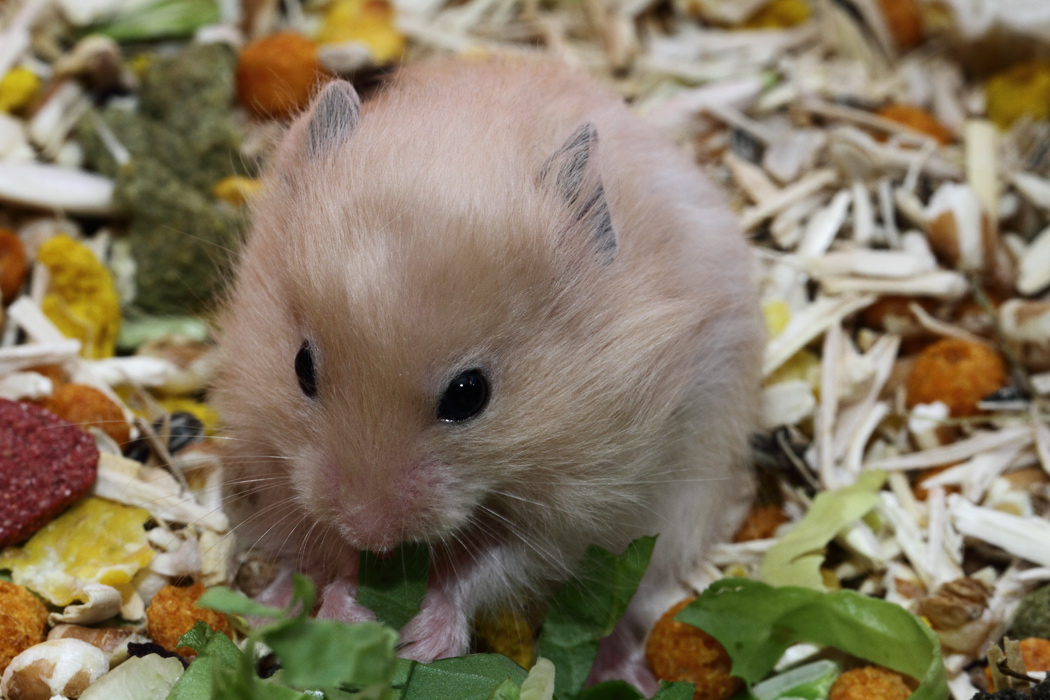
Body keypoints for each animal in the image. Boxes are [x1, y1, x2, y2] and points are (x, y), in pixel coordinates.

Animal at [215, 56, 764, 688]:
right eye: (301, 367)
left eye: (468, 394)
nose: (369, 530)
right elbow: (328, 549)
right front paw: (346, 607)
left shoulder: (578, 511)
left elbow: (488, 568)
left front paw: (423, 642)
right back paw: (271, 606)